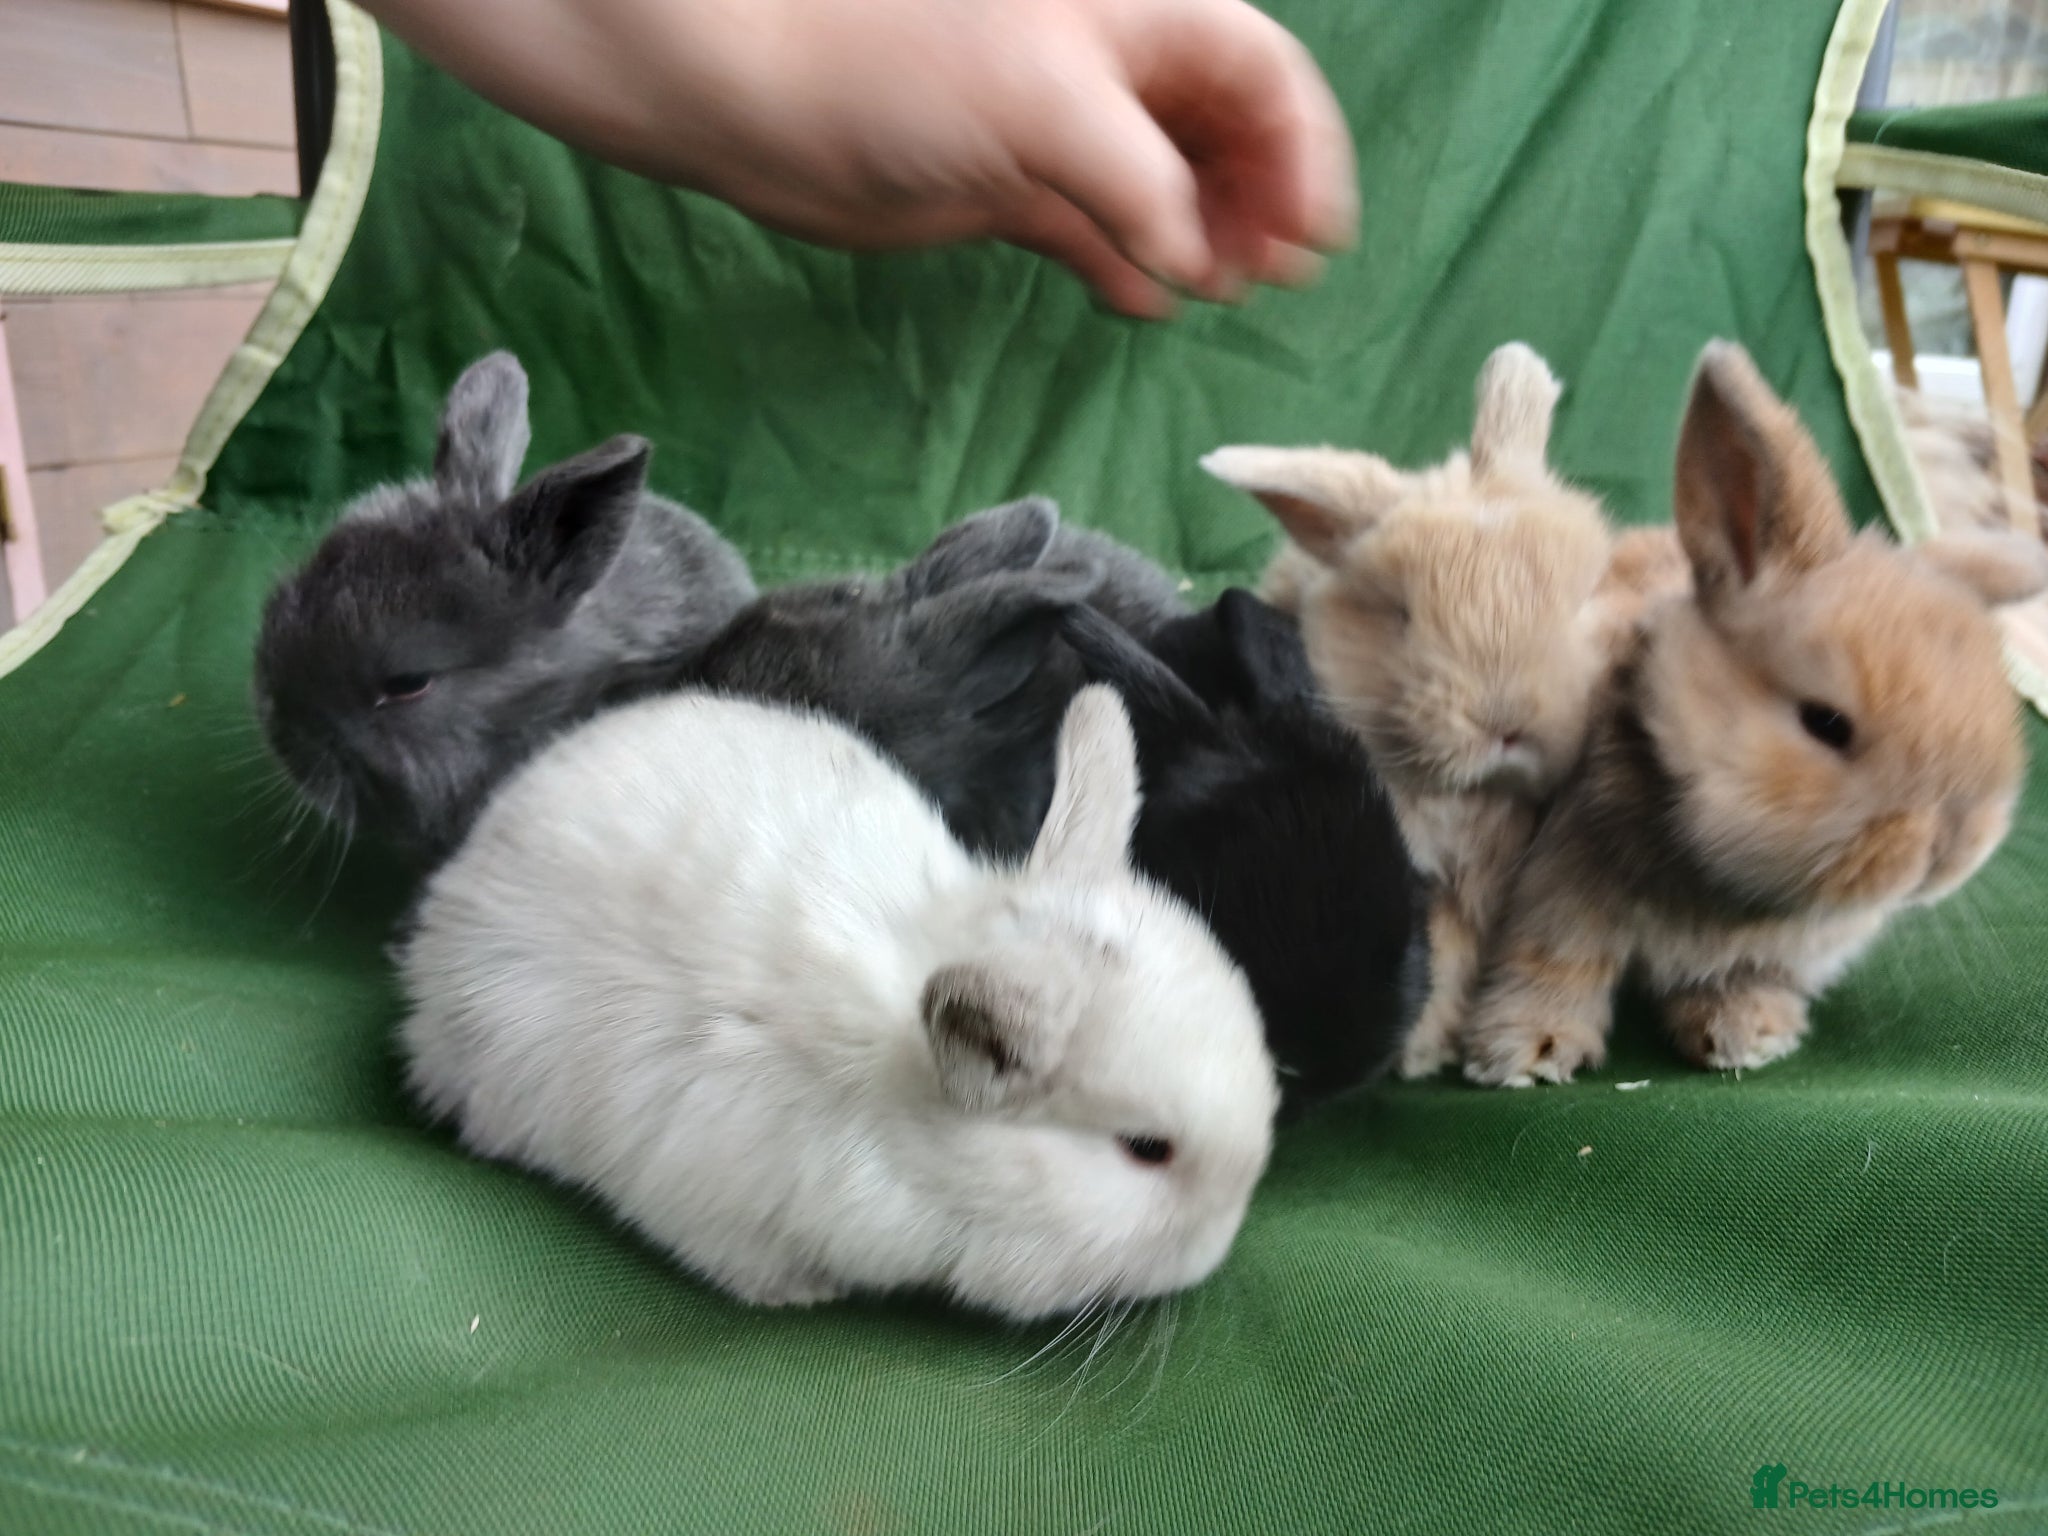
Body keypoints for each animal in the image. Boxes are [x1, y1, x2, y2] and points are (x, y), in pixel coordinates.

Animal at [1204, 342, 1617, 1079]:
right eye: (1400, 615)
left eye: (1577, 601)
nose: (1506, 723)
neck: (1472, 799)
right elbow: (1439, 956)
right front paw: (1421, 1053)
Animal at [1461, 341, 2048, 1086]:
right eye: (1825, 723)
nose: (1953, 851)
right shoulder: (1559, 895)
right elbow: (1553, 965)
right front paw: (1524, 1053)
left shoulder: (1763, 953)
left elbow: (1733, 979)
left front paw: (1749, 1035)